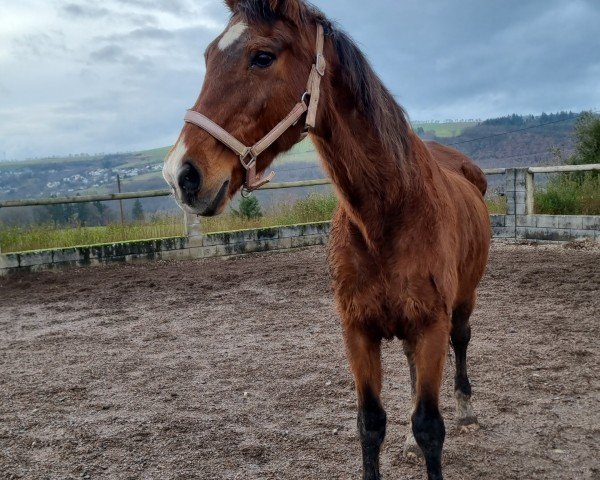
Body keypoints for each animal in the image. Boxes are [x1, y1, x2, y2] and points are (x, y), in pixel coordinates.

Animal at [162, 1, 490, 478]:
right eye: (207, 57)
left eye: (263, 57)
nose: (181, 174)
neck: (388, 215)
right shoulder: (357, 330)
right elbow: (370, 424)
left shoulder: (431, 324)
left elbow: (431, 427)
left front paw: (433, 429)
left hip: (464, 299)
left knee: (461, 340)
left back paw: (466, 408)